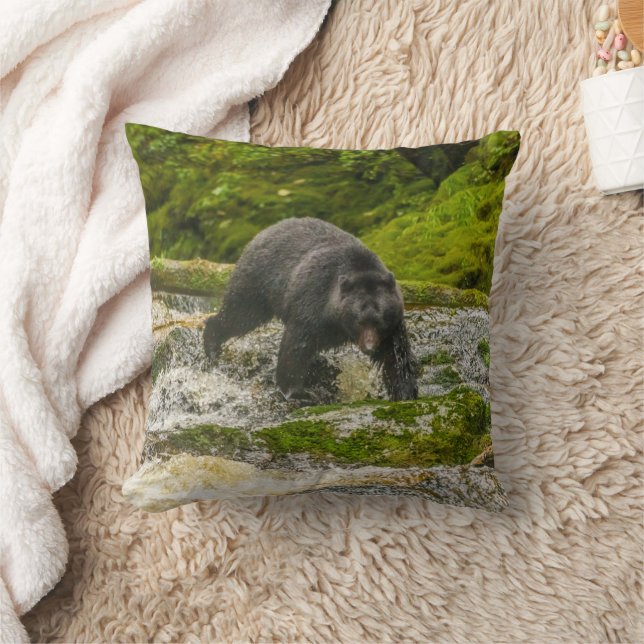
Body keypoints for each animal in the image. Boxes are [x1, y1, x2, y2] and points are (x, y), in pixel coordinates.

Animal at [203, 217, 418, 402]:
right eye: (359, 320)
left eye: (380, 321)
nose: (370, 347)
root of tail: (264, 232)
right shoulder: (313, 301)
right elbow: (296, 346)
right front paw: (298, 392)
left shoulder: (393, 327)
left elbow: (396, 358)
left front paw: (405, 393)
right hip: (258, 282)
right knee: (239, 315)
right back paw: (212, 346)